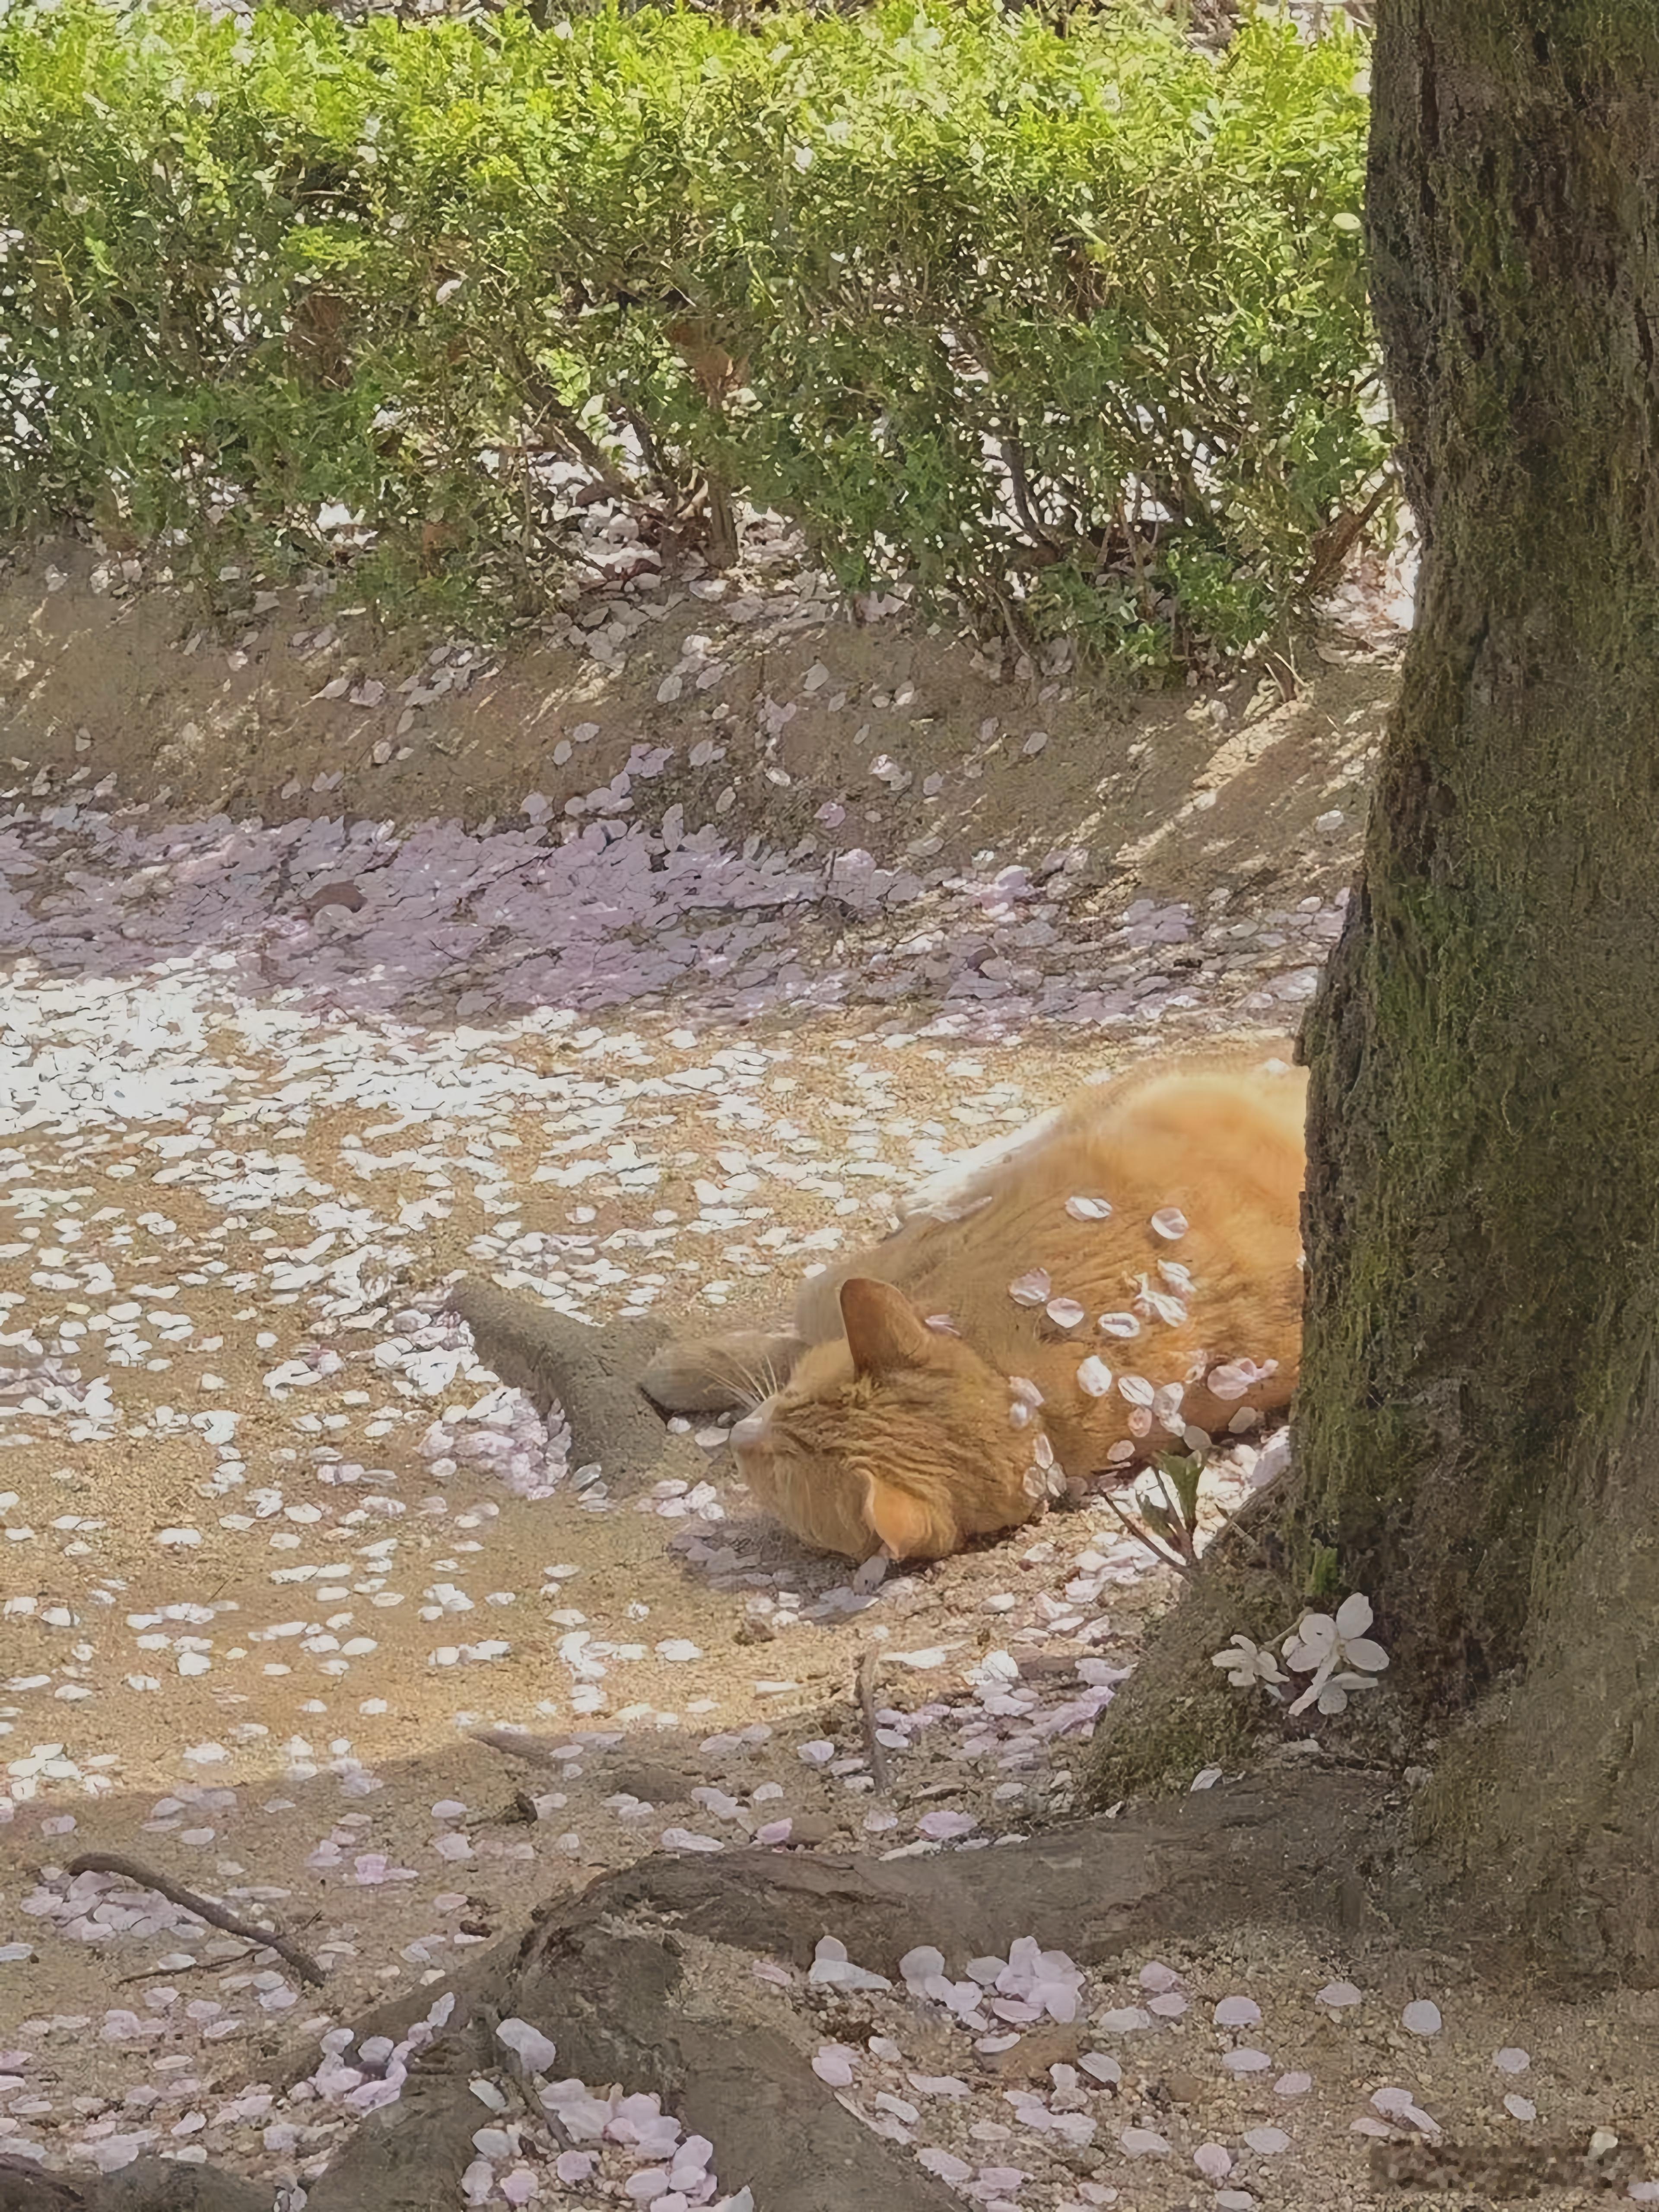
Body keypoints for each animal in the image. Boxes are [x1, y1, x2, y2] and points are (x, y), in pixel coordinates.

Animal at [641, 1044, 1309, 1566]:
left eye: (777, 1473)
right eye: (792, 1399)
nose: (739, 1437)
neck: (1006, 1372)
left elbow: (781, 1341)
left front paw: (676, 1372)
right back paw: (938, 1185)